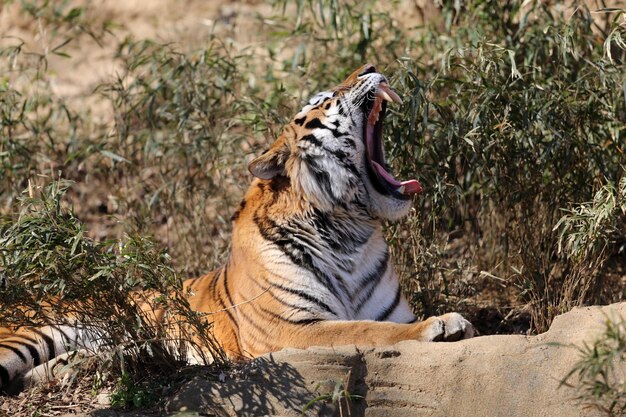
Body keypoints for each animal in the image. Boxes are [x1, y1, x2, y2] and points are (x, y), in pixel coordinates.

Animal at [0, 63, 468, 392]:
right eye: (324, 100)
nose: (370, 66)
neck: (349, 232)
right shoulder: (291, 329)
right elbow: (368, 330)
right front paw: (442, 324)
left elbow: (378, 324)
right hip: (26, 336)